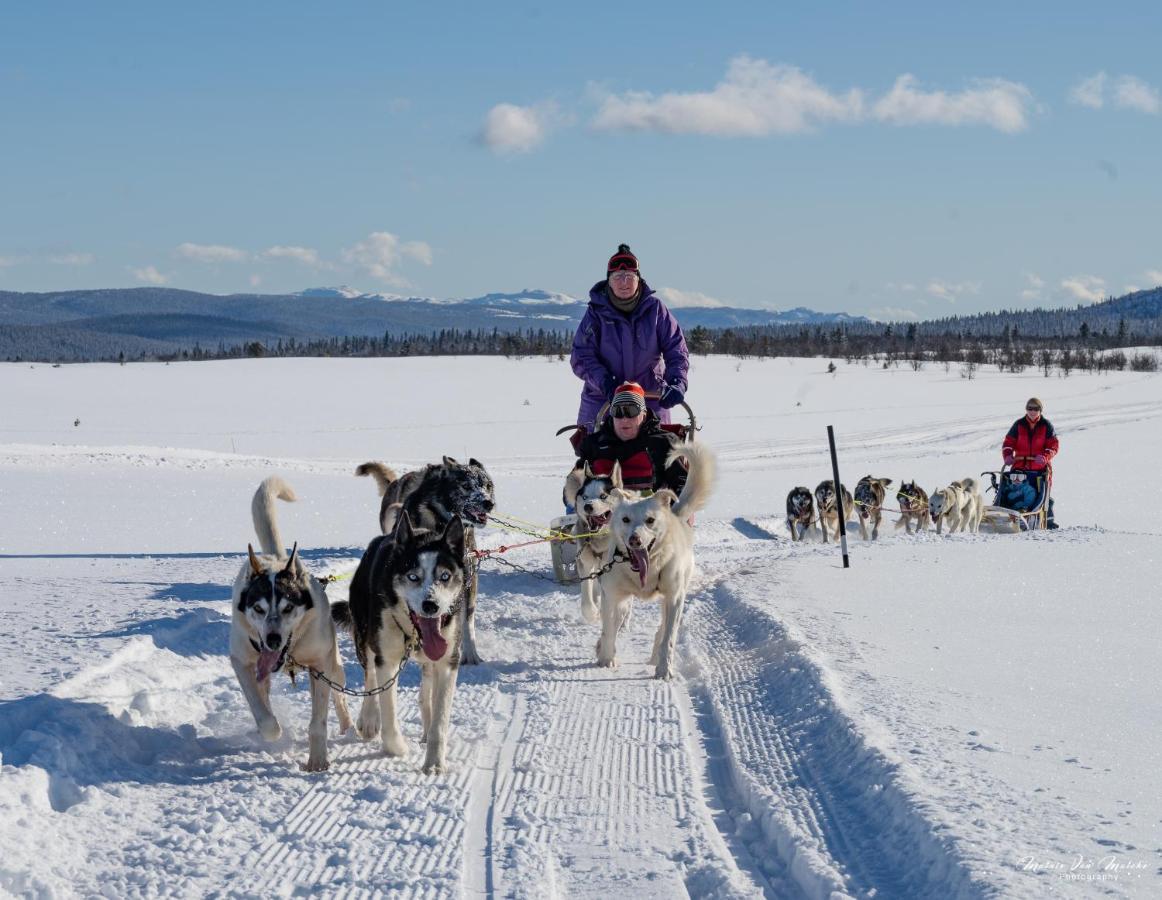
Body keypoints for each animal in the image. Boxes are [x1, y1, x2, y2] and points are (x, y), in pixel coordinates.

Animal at [228, 478, 350, 775]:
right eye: (258, 608)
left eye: (287, 608)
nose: (272, 639)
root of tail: (275, 557)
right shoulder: (242, 661)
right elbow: (262, 712)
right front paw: (271, 732)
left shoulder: (320, 666)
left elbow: (318, 722)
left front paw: (317, 760)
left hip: (335, 667)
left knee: (340, 696)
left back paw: (350, 727)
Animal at [334, 513, 464, 775]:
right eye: (413, 576)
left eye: (445, 576)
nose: (431, 605)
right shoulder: (388, 660)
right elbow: (389, 713)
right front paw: (398, 748)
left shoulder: (448, 661)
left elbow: (440, 720)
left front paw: (434, 762)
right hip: (365, 637)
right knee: (370, 675)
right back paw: (369, 718)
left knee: (426, 690)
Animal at [357, 457, 495, 659]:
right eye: (465, 485)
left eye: (487, 485)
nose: (488, 502)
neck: (441, 522)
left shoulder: (467, 575)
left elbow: (467, 619)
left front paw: (471, 654)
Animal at [599, 438, 715, 678]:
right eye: (625, 519)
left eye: (650, 520)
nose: (634, 539)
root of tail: (676, 515)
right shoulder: (611, 595)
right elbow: (609, 630)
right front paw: (606, 658)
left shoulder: (674, 598)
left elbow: (669, 638)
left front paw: (664, 670)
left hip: (674, 597)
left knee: (662, 631)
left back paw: (655, 659)